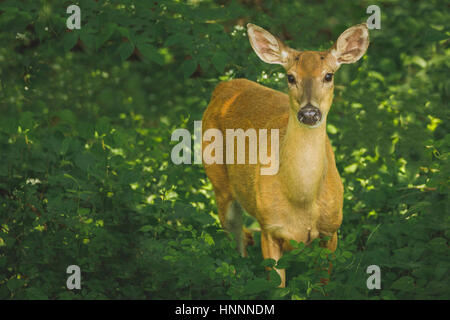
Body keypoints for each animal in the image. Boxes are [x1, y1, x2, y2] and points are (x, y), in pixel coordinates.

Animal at [201, 23, 370, 288]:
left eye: (329, 75)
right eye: (290, 77)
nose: (309, 113)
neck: (302, 202)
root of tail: (223, 87)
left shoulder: (332, 230)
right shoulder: (269, 228)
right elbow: (277, 287)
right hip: (219, 183)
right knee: (235, 240)